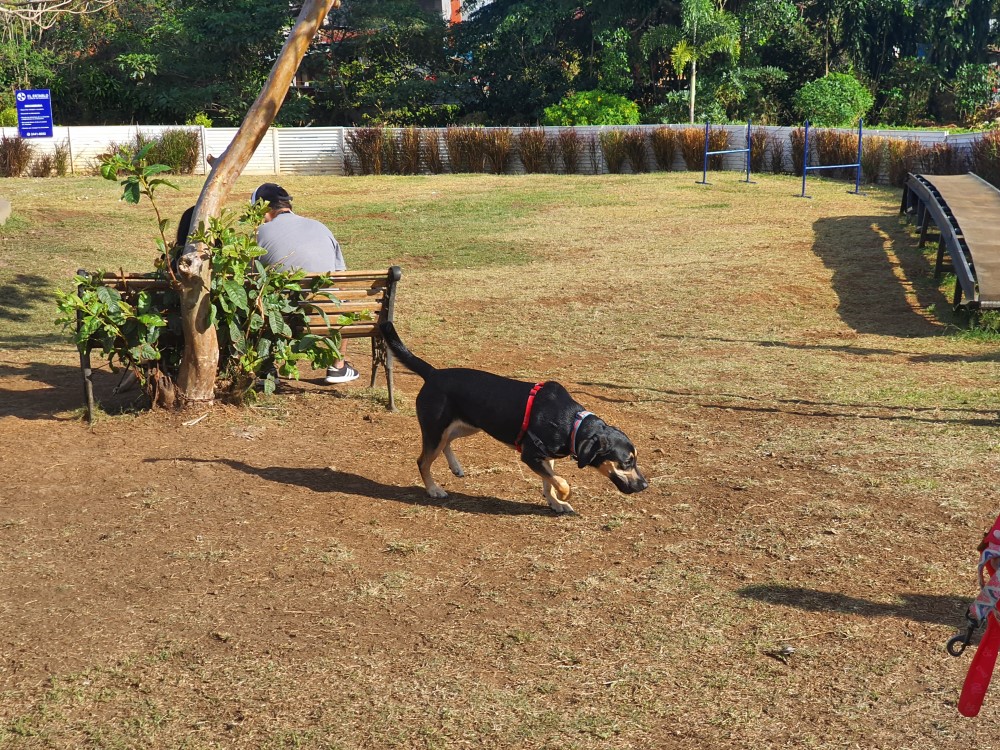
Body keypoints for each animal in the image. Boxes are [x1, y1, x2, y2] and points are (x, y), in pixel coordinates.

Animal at [376, 320, 648, 516]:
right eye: (626, 462)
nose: (645, 485)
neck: (573, 424)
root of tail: (433, 373)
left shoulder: (545, 457)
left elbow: (548, 481)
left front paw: (555, 503)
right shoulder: (530, 455)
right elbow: (561, 482)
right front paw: (564, 496)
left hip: (467, 426)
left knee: (447, 443)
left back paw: (456, 467)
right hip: (435, 429)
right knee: (423, 461)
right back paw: (433, 489)